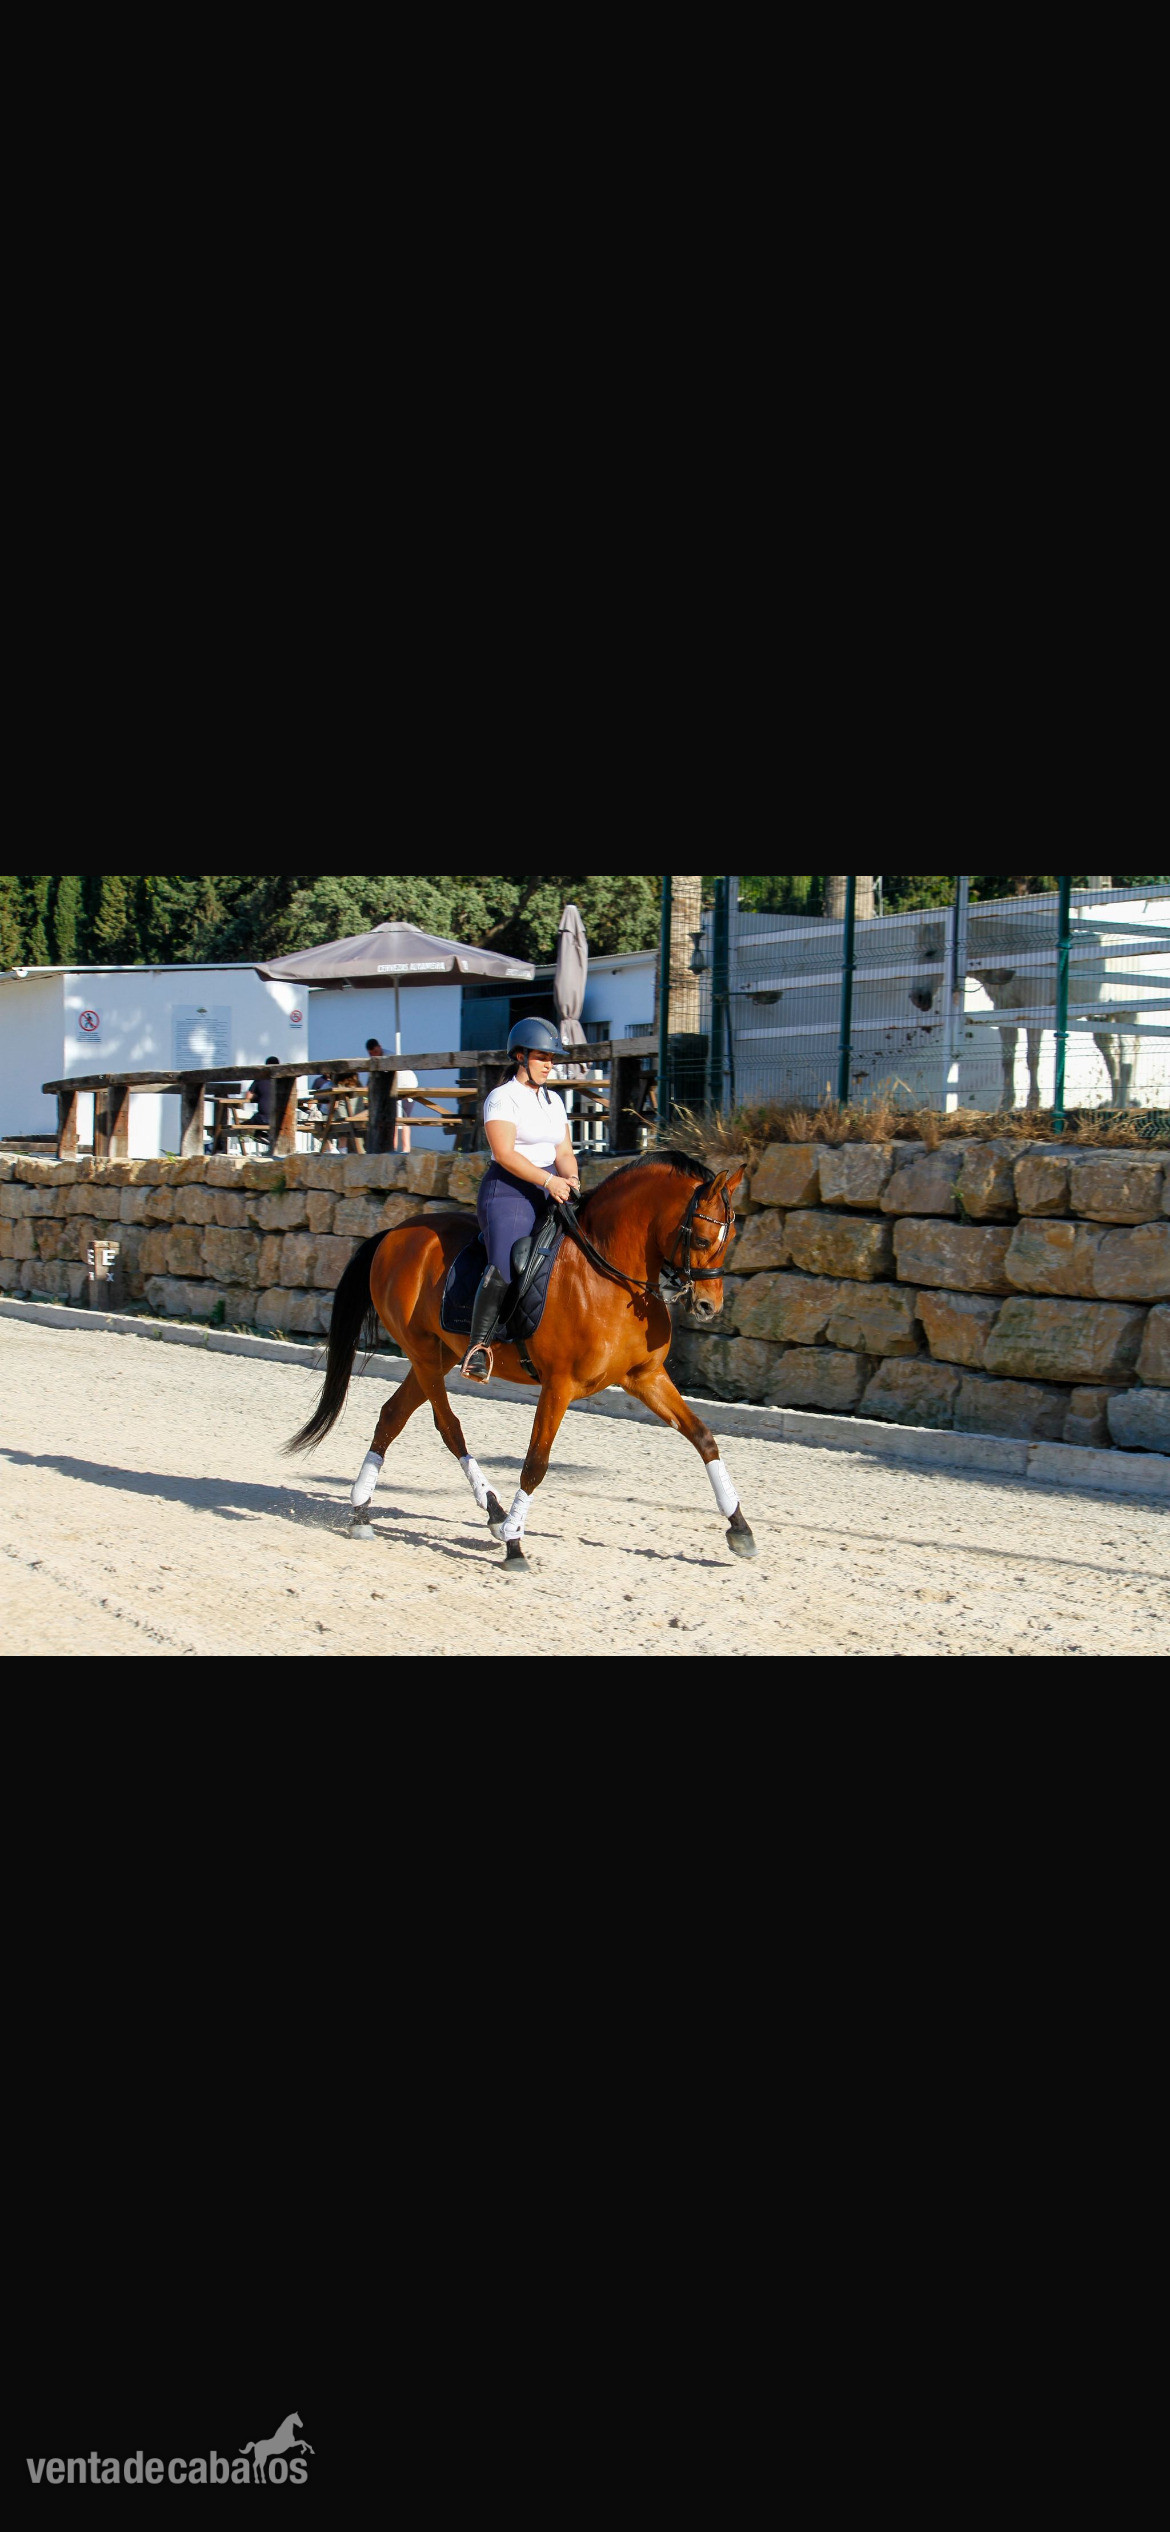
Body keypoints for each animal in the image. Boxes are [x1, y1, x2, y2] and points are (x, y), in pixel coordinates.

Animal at [286, 1151, 758, 1571]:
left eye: (730, 1240)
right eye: (701, 1239)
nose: (708, 1306)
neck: (610, 1277)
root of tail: (396, 1233)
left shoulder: (645, 1377)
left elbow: (703, 1437)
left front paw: (739, 1528)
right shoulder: (559, 1385)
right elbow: (535, 1464)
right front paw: (515, 1544)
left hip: (438, 1356)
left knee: (392, 1416)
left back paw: (363, 1510)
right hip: (423, 1354)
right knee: (448, 1426)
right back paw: (494, 1515)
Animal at [911, 911, 1140, 1110]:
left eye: (930, 952)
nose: (916, 998)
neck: (1016, 953)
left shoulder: (1034, 1013)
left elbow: (1032, 1058)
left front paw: (1032, 1104)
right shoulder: (1005, 1013)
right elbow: (1007, 1059)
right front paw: (1005, 1105)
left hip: (1126, 1013)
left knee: (1127, 1054)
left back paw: (1122, 1104)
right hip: (1103, 1017)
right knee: (1112, 1055)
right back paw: (1117, 1103)